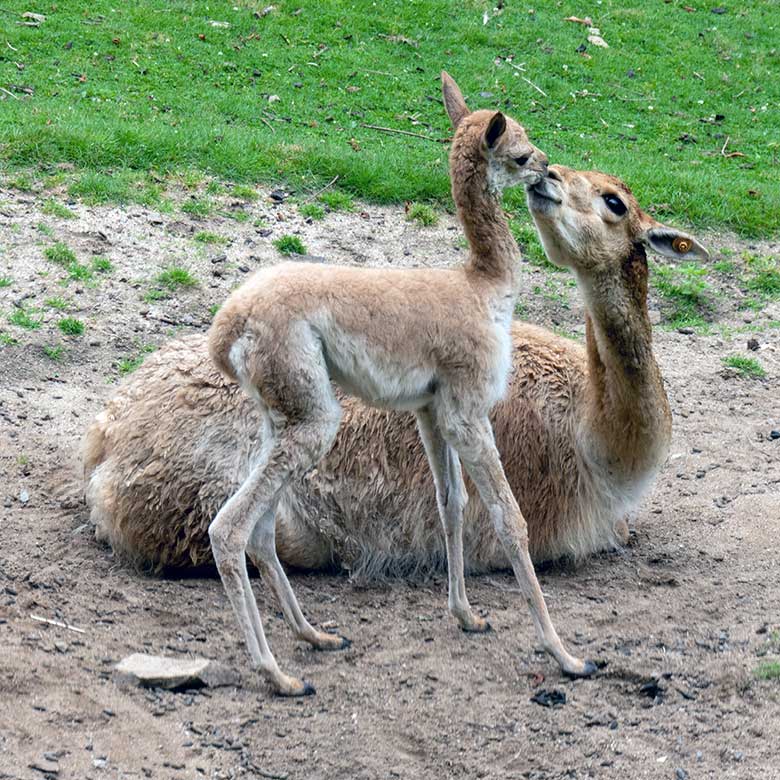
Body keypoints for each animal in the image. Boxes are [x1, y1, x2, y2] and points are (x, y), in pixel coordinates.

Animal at [203, 73, 596, 696]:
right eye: (519, 152)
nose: (546, 169)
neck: (483, 287)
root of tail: (228, 327)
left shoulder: (431, 411)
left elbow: (452, 503)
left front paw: (468, 616)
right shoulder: (468, 408)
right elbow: (509, 518)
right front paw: (566, 655)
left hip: (281, 413)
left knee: (261, 529)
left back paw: (315, 636)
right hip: (313, 416)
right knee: (229, 527)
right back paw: (278, 675)